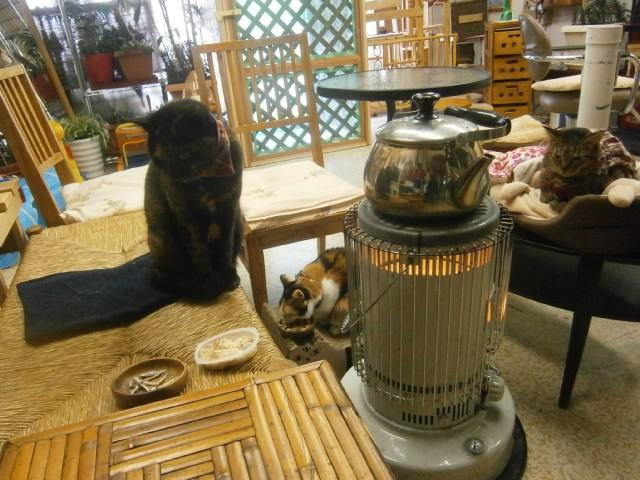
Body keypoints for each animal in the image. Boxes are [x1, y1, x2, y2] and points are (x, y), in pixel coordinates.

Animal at [137, 99, 244, 301]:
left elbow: (225, 247)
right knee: (166, 273)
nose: (173, 176)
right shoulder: (187, 219)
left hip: (240, 223)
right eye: (159, 159)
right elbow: (198, 252)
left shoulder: (228, 209)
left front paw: (227, 278)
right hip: (163, 238)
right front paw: (209, 285)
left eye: (184, 154)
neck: (206, 179)